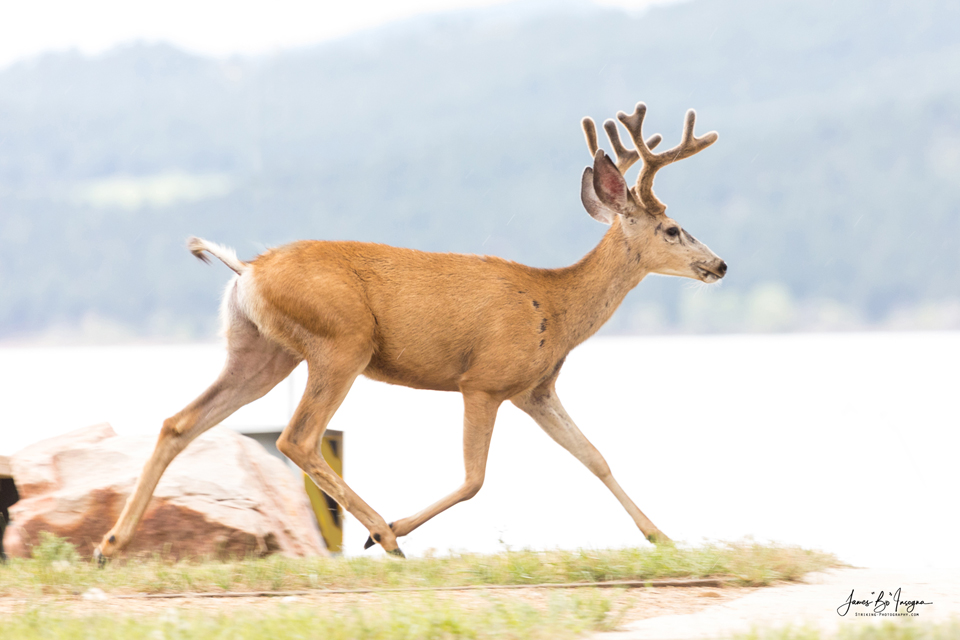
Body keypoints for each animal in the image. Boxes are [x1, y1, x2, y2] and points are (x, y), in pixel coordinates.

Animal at [95, 102, 728, 564]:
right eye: (673, 229)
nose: (719, 265)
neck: (555, 305)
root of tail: (246, 270)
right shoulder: (484, 380)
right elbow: (475, 478)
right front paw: (390, 530)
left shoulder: (536, 389)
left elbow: (595, 456)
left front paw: (662, 537)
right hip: (341, 342)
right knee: (297, 438)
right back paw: (385, 533)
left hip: (262, 350)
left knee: (181, 422)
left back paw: (110, 545)